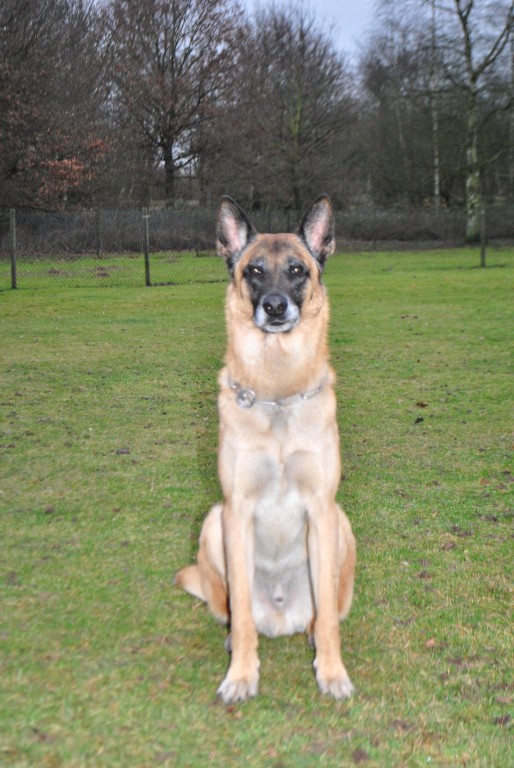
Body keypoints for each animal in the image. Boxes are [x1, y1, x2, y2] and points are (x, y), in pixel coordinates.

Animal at [175, 195, 356, 704]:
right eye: (254, 271)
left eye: (297, 269)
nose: (275, 307)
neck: (278, 393)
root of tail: (280, 616)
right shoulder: (236, 510)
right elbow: (240, 619)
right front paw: (241, 675)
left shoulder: (321, 507)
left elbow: (330, 622)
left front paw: (331, 672)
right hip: (212, 521)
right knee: (236, 613)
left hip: (341, 525)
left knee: (325, 612)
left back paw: (312, 632)